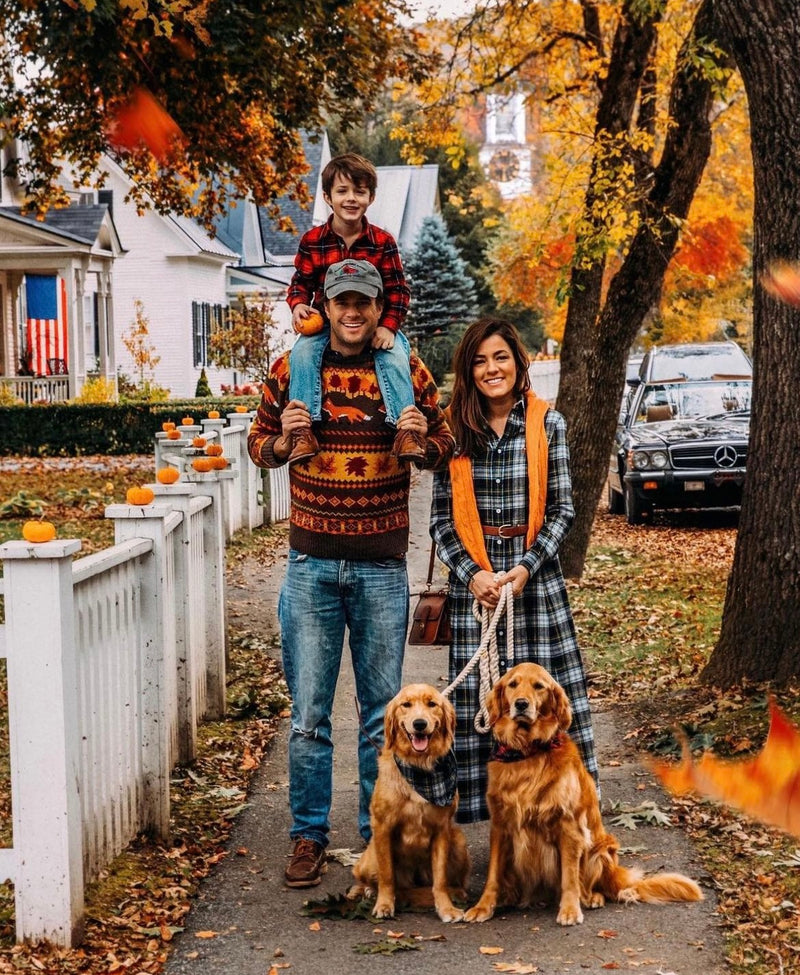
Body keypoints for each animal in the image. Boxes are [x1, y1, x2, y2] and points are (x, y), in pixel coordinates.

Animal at [348, 688, 468, 924]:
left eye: (432, 704)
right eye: (406, 705)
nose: (419, 724)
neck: (419, 767)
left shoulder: (442, 829)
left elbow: (440, 880)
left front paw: (446, 908)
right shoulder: (382, 827)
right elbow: (386, 876)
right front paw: (384, 905)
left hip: (458, 841)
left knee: (456, 885)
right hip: (369, 858)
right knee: (365, 878)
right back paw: (367, 891)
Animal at [466, 668, 704, 928]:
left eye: (539, 686)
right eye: (512, 684)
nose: (521, 704)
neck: (527, 752)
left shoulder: (569, 826)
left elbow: (570, 876)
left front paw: (570, 910)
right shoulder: (500, 825)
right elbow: (493, 875)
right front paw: (483, 906)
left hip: (599, 848)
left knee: (590, 886)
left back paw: (590, 898)